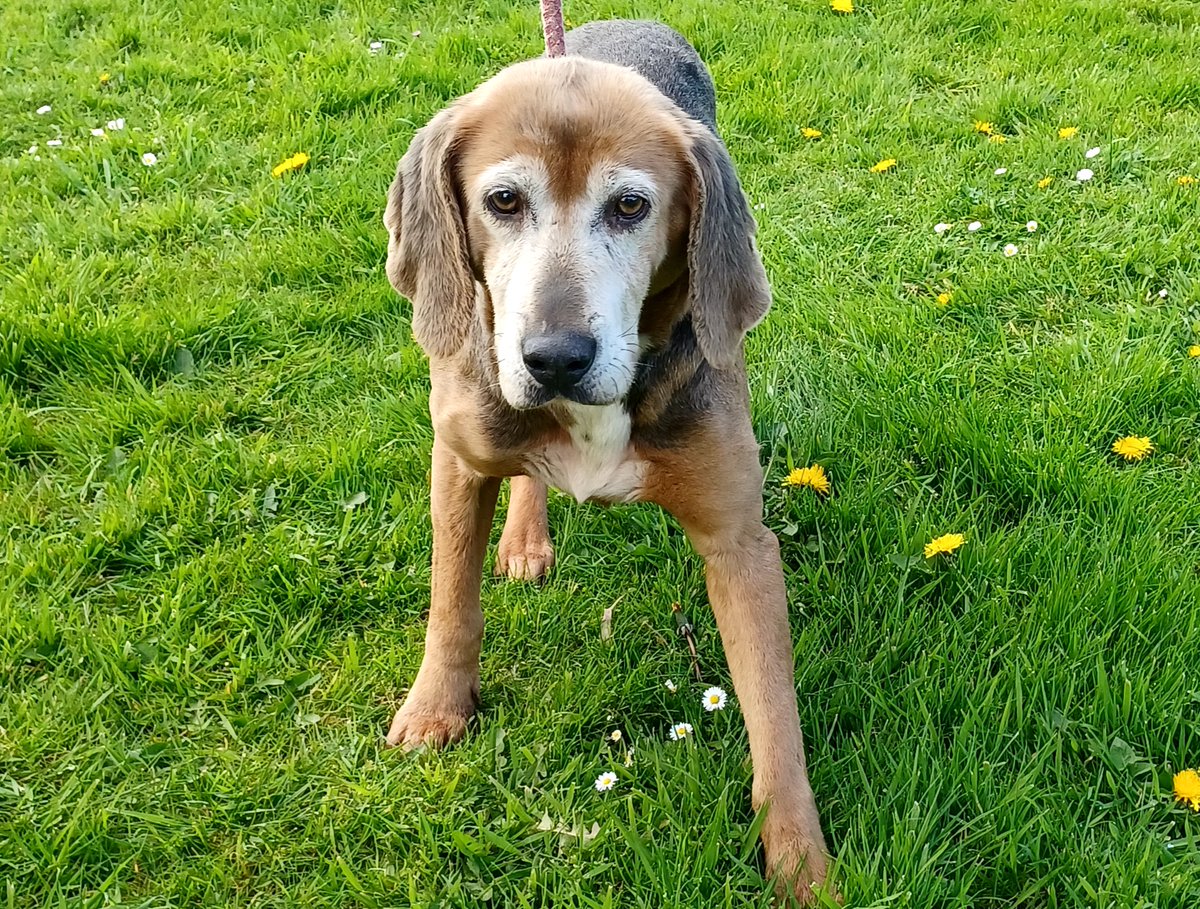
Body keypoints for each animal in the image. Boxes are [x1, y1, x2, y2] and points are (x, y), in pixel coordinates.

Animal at [384, 19, 835, 906]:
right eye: (503, 200)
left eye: (631, 206)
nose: (555, 357)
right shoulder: (457, 462)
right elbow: (452, 604)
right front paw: (436, 709)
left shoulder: (740, 544)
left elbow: (776, 716)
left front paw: (802, 861)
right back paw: (525, 537)